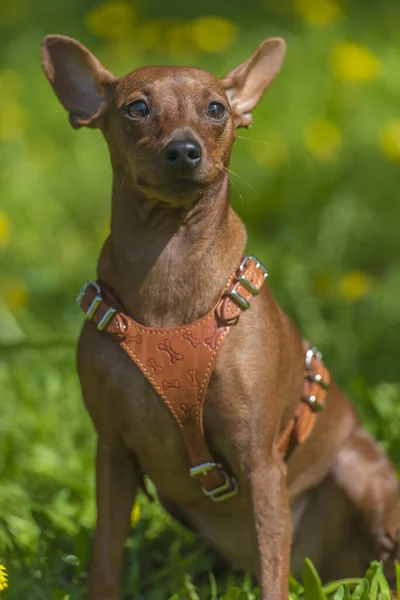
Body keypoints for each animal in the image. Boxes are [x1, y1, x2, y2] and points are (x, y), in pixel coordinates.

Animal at [41, 35, 400, 596]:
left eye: (217, 109)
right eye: (136, 108)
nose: (184, 150)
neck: (169, 272)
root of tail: (322, 569)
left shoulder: (260, 464)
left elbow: (272, 577)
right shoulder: (113, 455)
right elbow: (104, 560)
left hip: (360, 478)